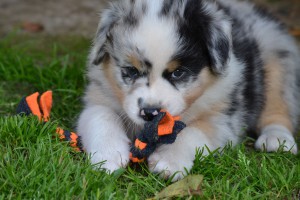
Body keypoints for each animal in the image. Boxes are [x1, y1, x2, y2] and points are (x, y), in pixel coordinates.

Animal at [78, 0, 300, 180]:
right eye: (131, 70)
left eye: (178, 73)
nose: (150, 113)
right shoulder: (99, 96)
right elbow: (101, 116)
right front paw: (107, 156)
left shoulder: (222, 119)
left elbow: (192, 131)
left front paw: (168, 162)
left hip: (278, 60)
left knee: (278, 108)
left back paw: (277, 139)